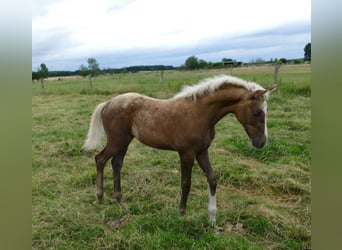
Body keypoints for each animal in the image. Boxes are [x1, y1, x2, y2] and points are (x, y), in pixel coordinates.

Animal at [84, 75, 276, 224]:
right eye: (257, 112)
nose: (261, 143)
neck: (199, 114)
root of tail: (108, 102)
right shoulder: (186, 153)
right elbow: (186, 183)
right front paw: (181, 213)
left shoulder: (202, 151)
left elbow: (212, 179)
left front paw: (212, 218)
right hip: (117, 140)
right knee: (100, 159)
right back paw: (99, 198)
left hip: (125, 141)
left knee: (116, 163)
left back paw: (120, 200)